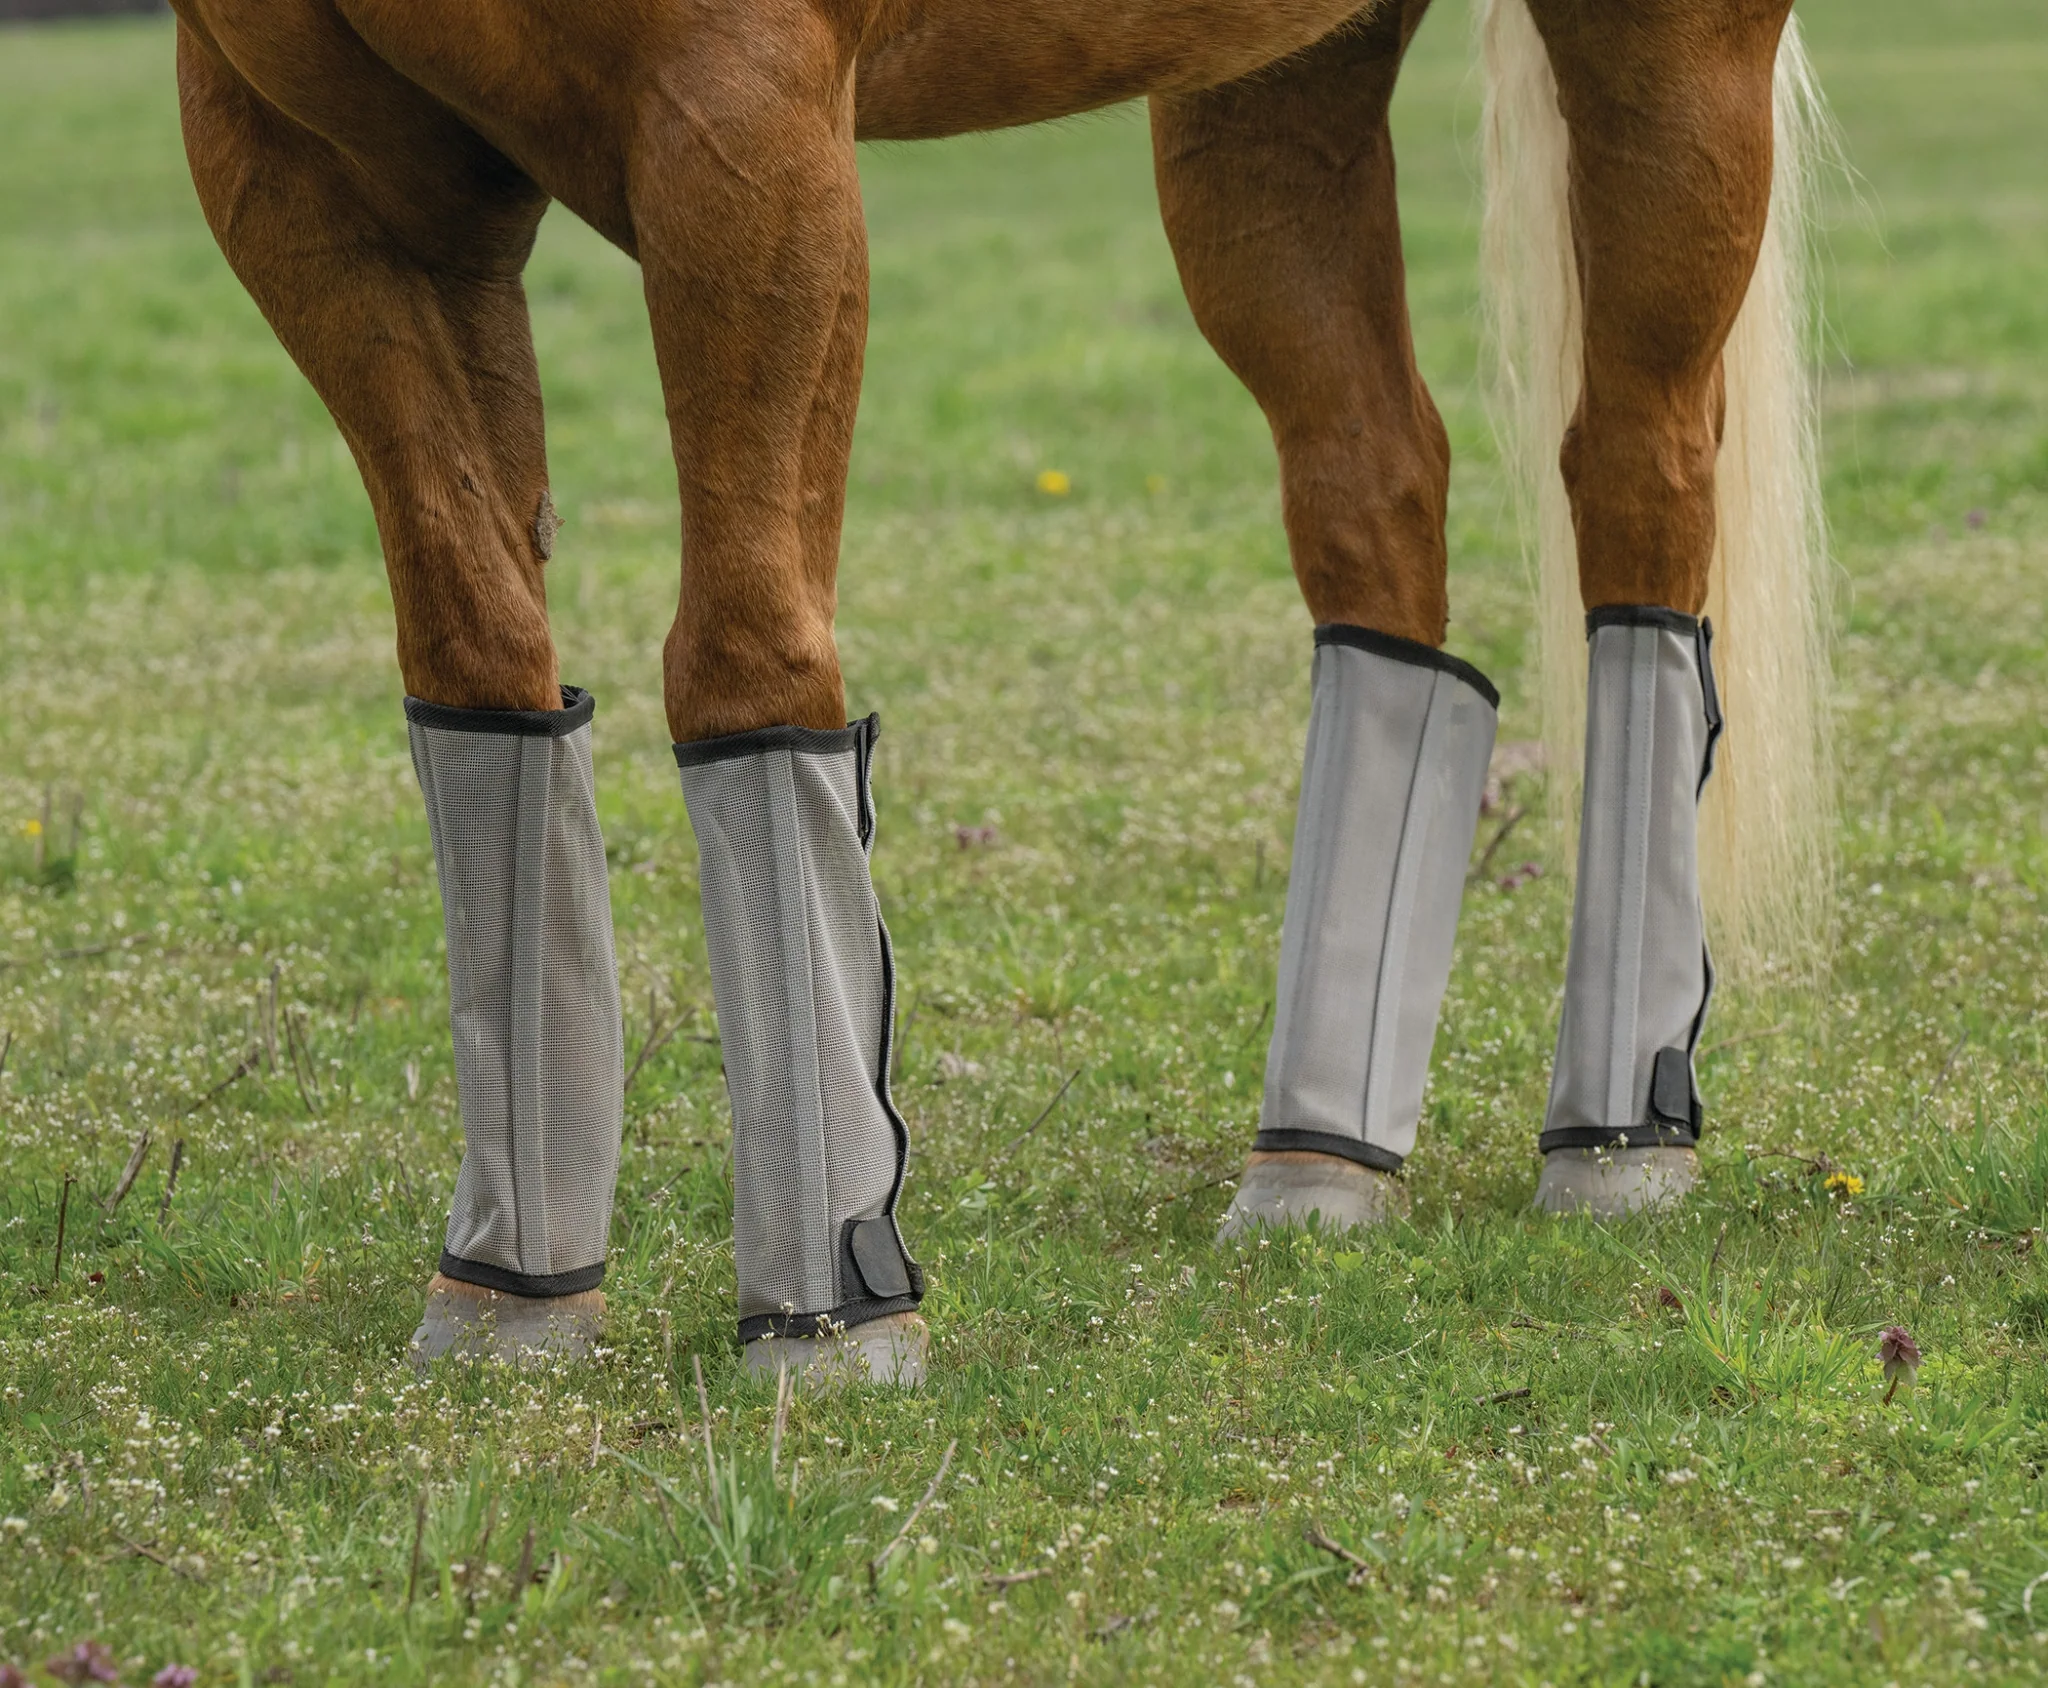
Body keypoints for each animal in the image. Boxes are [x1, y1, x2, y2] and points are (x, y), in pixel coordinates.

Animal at [162, 0, 1833, 1384]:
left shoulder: (745, 132)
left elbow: (746, 652)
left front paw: (832, 1320)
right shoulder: (312, 177)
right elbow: (478, 658)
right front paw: (514, 1297)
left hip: (1665, 57)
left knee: (1640, 478)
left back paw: (1616, 1138)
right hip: (1270, 89)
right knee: (1382, 501)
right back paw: (1318, 1162)